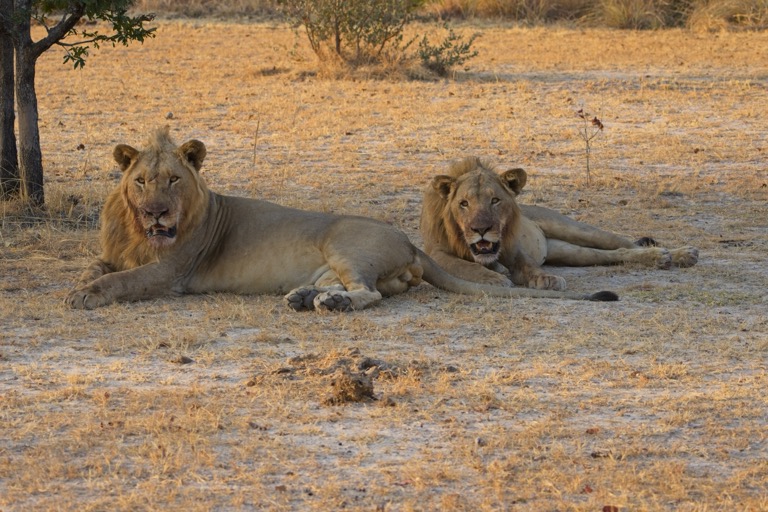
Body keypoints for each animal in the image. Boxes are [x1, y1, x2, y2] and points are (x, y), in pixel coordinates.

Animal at [66, 128, 618, 312]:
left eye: (173, 180)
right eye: (141, 181)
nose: (156, 211)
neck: (138, 230)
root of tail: (411, 243)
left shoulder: (170, 271)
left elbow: (122, 281)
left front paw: (84, 297)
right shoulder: (115, 252)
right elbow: (97, 268)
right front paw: (80, 285)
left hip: (345, 244)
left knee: (369, 295)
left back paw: (330, 304)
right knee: (357, 288)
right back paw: (307, 297)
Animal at [420, 157, 699, 290]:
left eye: (495, 200)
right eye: (463, 203)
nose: (481, 230)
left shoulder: (514, 250)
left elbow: (528, 266)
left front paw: (546, 279)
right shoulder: (436, 252)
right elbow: (464, 266)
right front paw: (493, 279)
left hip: (574, 229)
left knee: (624, 244)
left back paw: (677, 255)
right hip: (570, 253)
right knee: (613, 254)